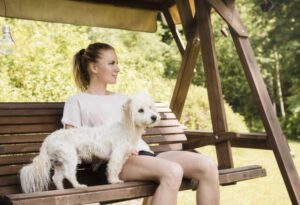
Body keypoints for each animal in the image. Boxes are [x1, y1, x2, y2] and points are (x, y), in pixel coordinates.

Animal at [19, 93, 159, 194]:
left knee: (56, 178)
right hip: (70, 157)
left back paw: (61, 190)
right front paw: (113, 181)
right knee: (69, 174)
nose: (154, 117)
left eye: (151, 107)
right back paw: (78, 186)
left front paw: (116, 179)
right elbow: (113, 169)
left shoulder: (123, 157)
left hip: (60, 162)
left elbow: (118, 169)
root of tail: (48, 139)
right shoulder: (116, 155)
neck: (127, 128)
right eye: (140, 110)